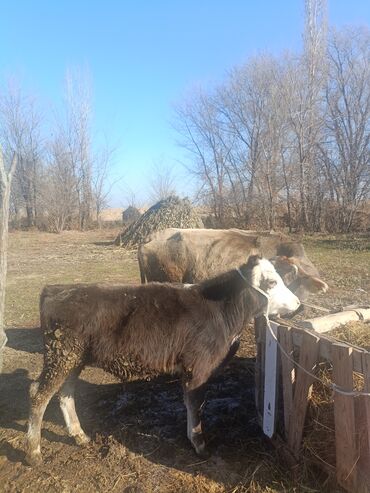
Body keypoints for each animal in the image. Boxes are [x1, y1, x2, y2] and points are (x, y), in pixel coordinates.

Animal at [26, 256, 300, 464]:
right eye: (272, 282)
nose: (298, 304)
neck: (221, 312)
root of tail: (56, 289)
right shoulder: (197, 368)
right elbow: (196, 406)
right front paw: (199, 445)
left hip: (73, 359)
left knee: (65, 394)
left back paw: (79, 435)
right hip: (61, 356)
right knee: (38, 394)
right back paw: (33, 452)